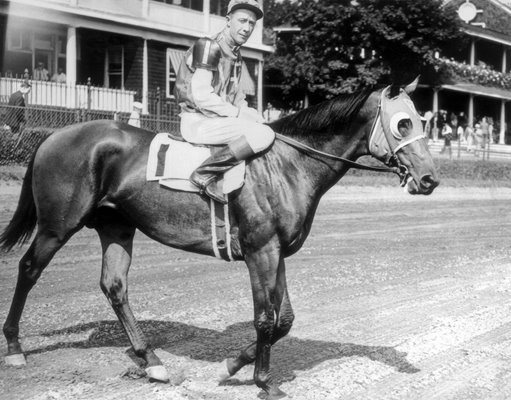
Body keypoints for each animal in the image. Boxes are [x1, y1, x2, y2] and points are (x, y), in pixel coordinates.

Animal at [1, 79, 440, 398]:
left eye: (423, 121)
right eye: (403, 123)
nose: (429, 179)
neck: (286, 164)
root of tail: (54, 135)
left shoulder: (277, 252)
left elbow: (284, 320)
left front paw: (233, 366)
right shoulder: (260, 251)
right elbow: (265, 319)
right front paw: (263, 381)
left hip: (117, 227)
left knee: (115, 286)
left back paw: (152, 361)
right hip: (58, 225)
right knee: (28, 269)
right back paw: (15, 348)